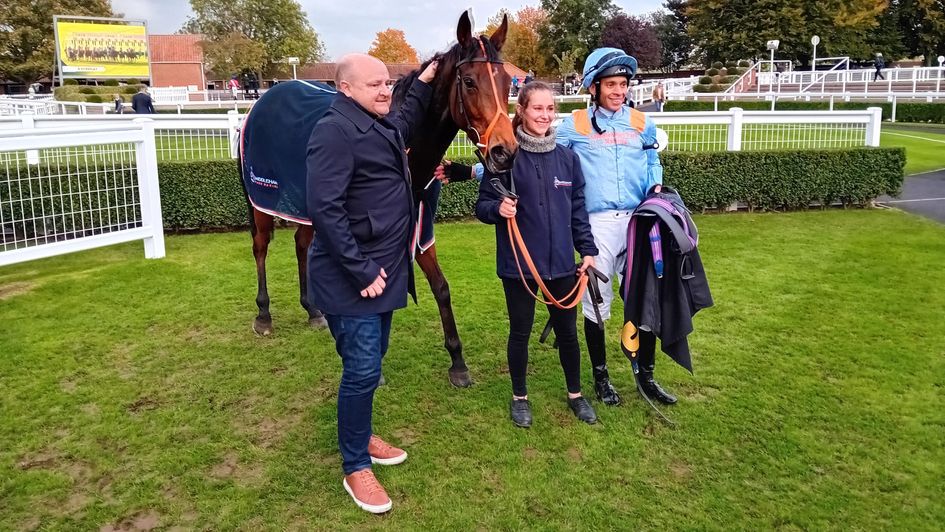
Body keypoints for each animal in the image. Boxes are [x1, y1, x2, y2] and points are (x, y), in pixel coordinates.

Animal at [238, 11, 516, 386]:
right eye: (470, 81)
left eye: (507, 82)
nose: (504, 152)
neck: (407, 149)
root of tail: (261, 102)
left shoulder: (420, 226)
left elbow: (441, 287)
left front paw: (457, 362)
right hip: (263, 202)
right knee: (260, 247)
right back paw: (264, 314)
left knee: (301, 244)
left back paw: (312, 309)